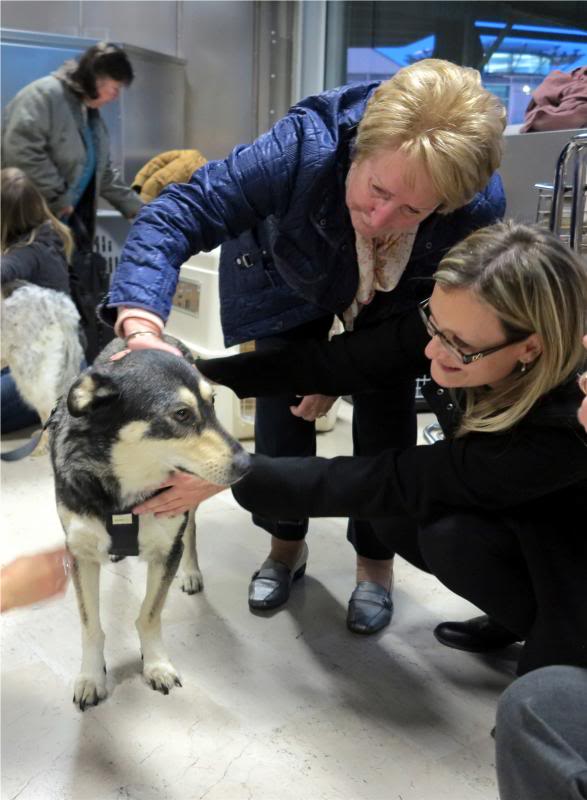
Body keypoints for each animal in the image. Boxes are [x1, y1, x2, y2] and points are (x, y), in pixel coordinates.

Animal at [48, 334, 250, 708]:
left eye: (213, 403)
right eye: (182, 414)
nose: (249, 465)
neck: (126, 490)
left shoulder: (166, 549)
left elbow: (149, 614)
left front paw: (156, 664)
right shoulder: (80, 554)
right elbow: (90, 625)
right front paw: (90, 676)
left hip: (187, 504)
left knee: (192, 531)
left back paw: (191, 572)